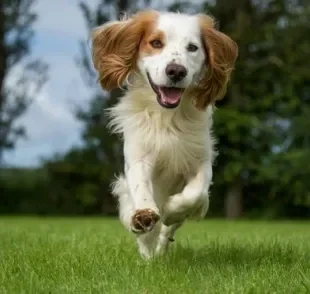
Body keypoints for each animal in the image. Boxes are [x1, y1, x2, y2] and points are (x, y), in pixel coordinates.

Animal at [91, 8, 239, 258]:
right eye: (156, 43)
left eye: (192, 47)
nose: (176, 71)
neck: (167, 117)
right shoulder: (139, 157)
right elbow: (141, 189)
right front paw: (144, 217)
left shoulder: (201, 161)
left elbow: (195, 195)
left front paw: (171, 209)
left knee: (168, 231)